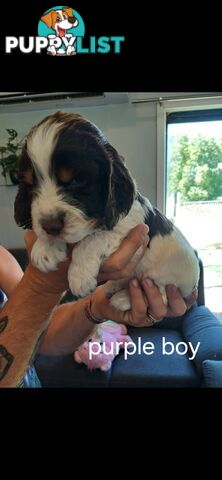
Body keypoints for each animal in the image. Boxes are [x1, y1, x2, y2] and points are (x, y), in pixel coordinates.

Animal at [14, 111, 200, 316]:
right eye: (30, 184)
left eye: (77, 181)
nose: (50, 226)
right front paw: (44, 249)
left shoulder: (128, 225)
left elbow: (91, 240)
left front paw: (79, 277)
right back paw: (114, 286)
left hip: (167, 278)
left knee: (161, 292)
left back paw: (123, 299)